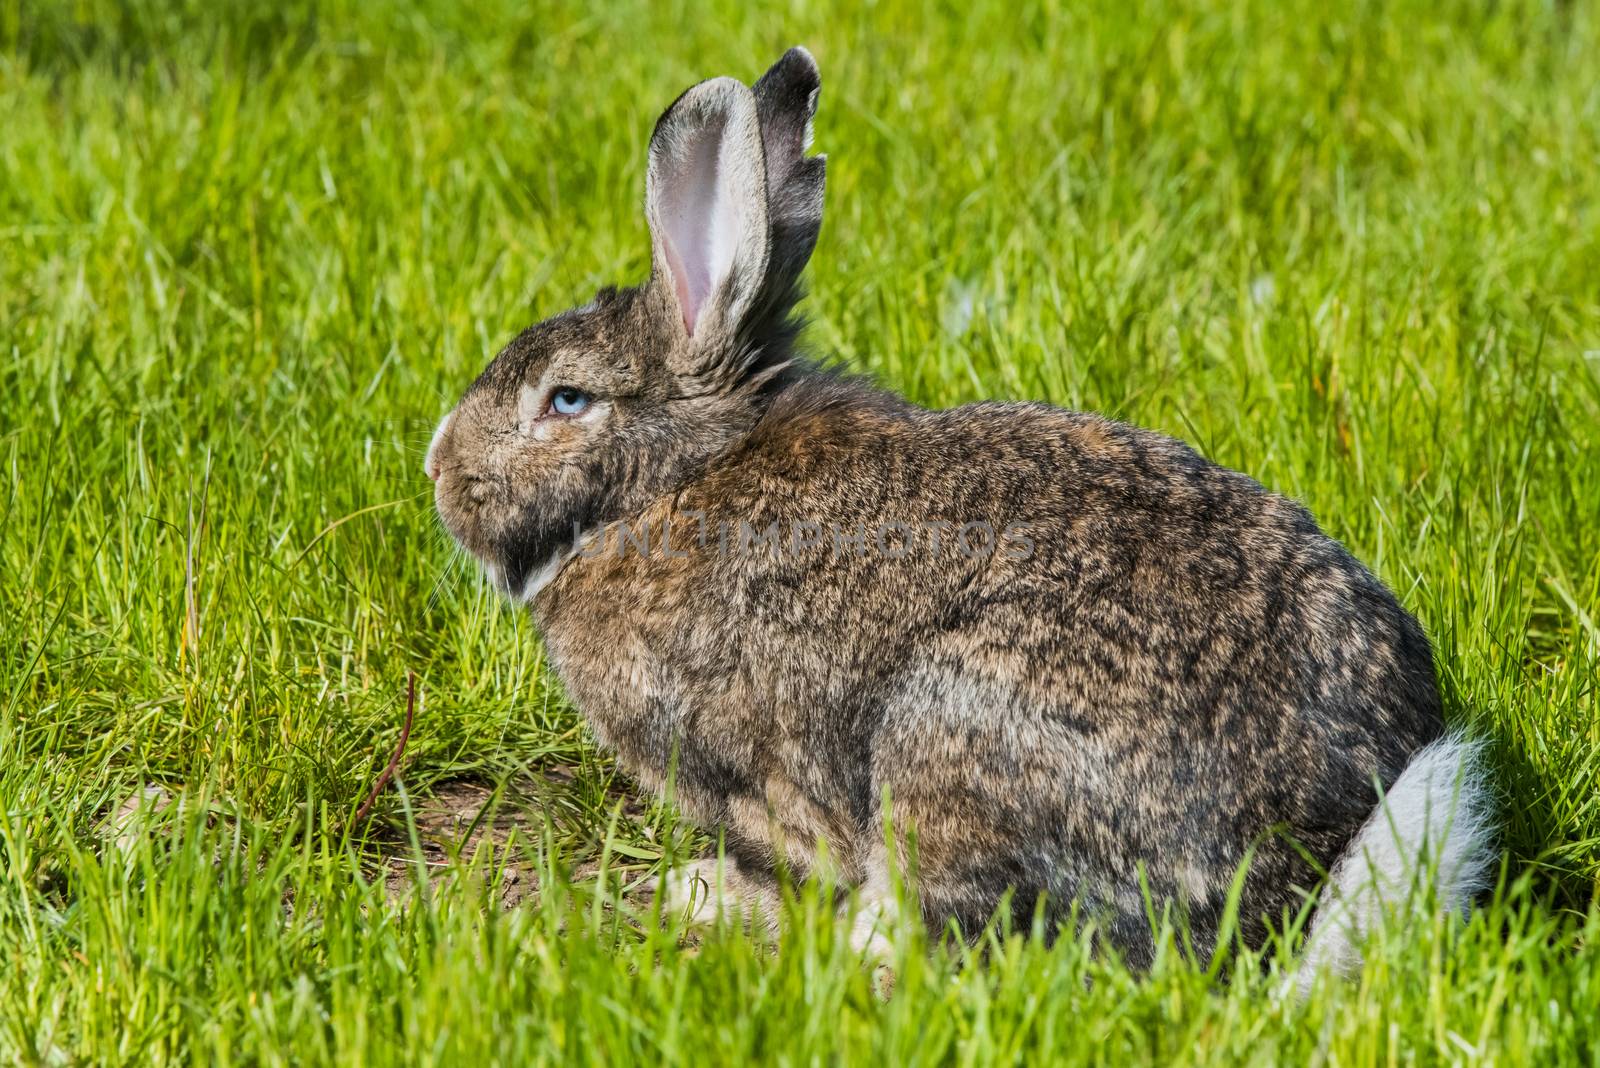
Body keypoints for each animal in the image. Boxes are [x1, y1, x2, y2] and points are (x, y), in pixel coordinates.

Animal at [422, 47, 1484, 978]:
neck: (679, 479)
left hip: (944, 742)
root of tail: (1296, 878)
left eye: (566, 400)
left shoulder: (767, 777)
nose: (437, 469)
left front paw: (710, 894)